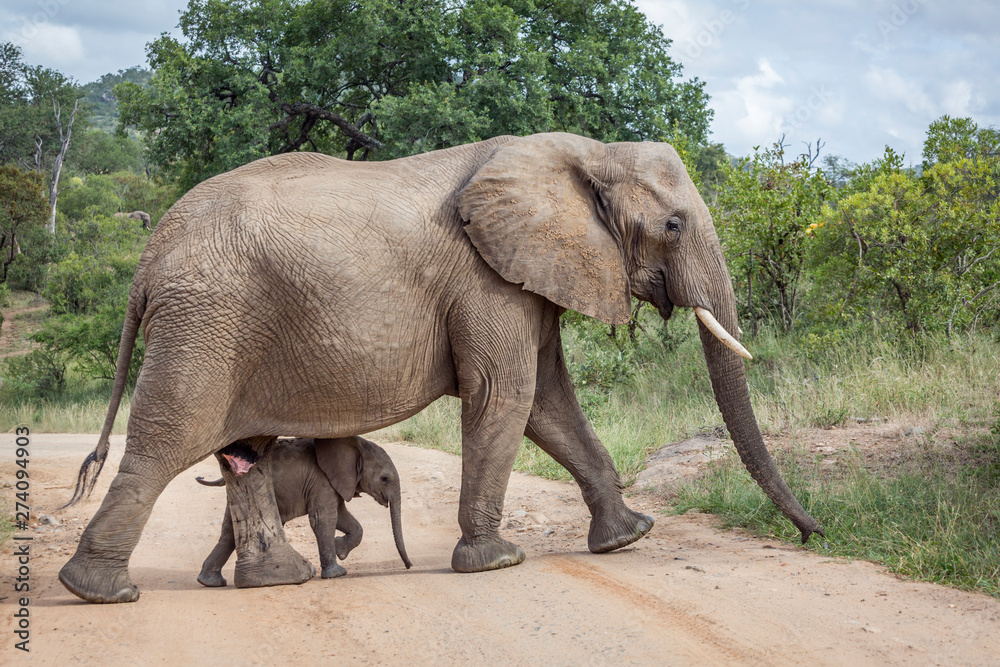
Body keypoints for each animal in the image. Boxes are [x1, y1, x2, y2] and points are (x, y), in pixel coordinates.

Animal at [195, 436, 410, 588]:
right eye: (384, 479)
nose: (409, 567)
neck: (355, 444)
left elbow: (343, 517)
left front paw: (339, 549)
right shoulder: (321, 479)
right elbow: (324, 518)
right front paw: (337, 572)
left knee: (229, 531)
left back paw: (209, 582)